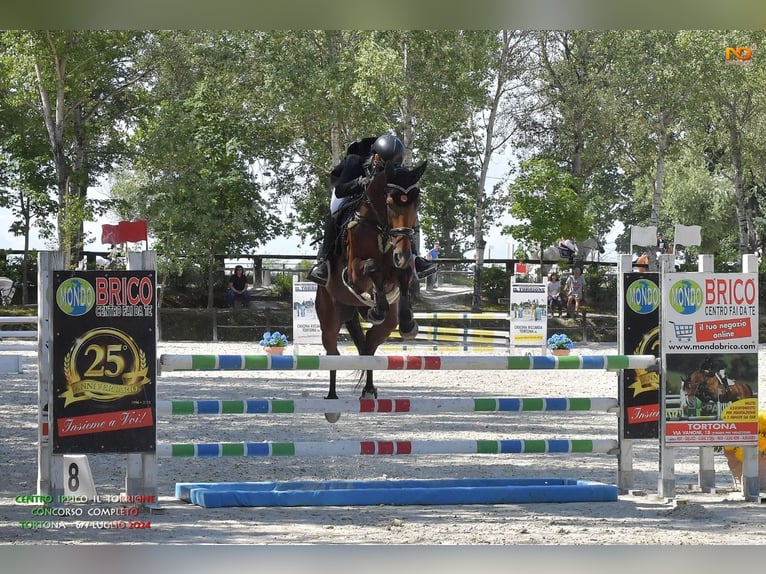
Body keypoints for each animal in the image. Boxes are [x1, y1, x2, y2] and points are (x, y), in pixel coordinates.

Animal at [316, 159, 428, 424]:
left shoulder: (398, 267)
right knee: (333, 352)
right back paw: (332, 403)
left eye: (417, 203)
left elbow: (405, 275)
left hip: (383, 326)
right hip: (329, 317)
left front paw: (407, 322)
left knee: (368, 346)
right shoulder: (354, 274)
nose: (402, 253)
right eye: (390, 203)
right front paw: (377, 304)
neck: (379, 225)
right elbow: (371, 266)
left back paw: (368, 391)